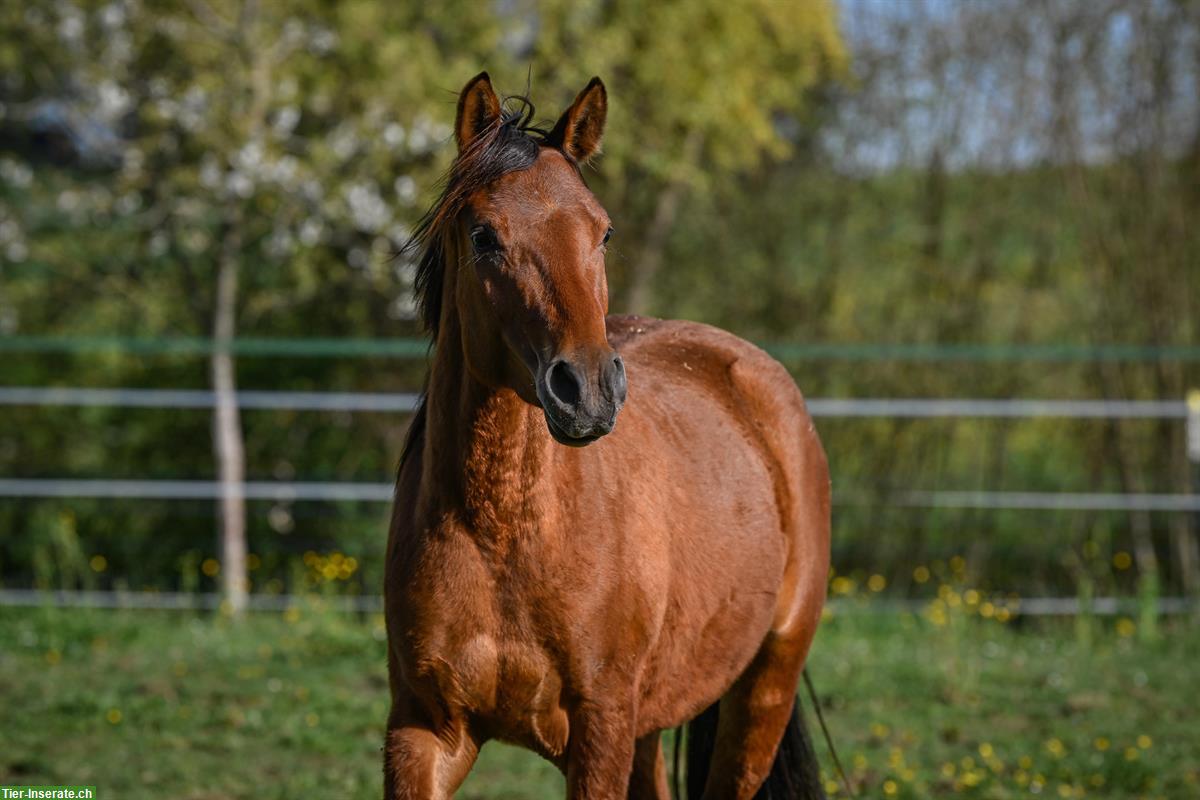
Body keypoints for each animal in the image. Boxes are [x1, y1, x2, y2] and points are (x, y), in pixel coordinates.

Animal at [386, 71, 835, 796]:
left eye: (603, 232)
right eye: (483, 236)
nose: (588, 389)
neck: (502, 536)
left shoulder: (600, 732)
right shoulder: (422, 732)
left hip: (763, 689)